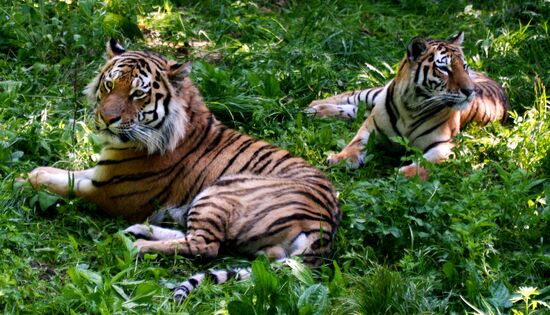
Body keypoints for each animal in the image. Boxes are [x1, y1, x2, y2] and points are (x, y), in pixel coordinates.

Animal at [29, 39, 340, 302]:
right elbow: (67, 171)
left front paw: (30, 177)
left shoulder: (108, 191)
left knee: (206, 245)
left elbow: (64, 183)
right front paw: (38, 169)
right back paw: (139, 230)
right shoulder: (101, 173)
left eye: (137, 94)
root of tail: (326, 228)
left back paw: (139, 245)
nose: (106, 119)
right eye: (109, 85)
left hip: (220, 192)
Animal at [306, 32, 508, 180]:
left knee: (355, 110)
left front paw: (402, 174)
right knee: (352, 96)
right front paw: (341, 159)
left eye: (464, 67)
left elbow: (426, 163)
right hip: (375, 95)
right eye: (444, 69)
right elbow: (355, 143)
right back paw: (314, 106)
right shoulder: (370, 127)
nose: (470, 90)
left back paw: (314, 111)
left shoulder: (446, 145)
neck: (412, 105)